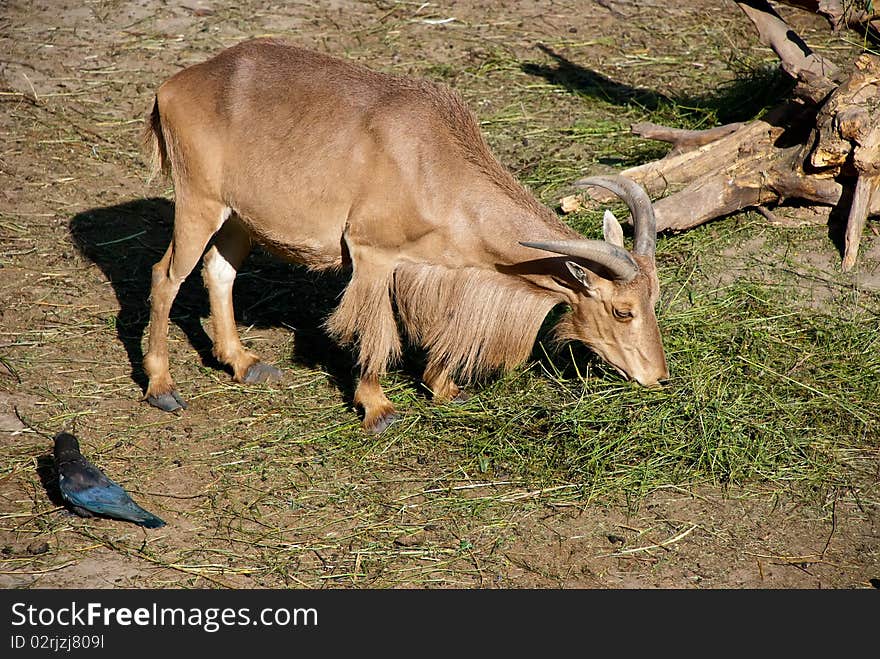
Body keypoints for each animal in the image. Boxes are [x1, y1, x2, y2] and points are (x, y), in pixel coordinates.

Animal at [143, 40, 668, 434]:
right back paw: (162, 387)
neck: (434, 168)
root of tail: (170, 88)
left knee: (219, 271)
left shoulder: (435, 268)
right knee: (165, 277)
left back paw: (244, 363)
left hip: (237, 218)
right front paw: (378, 409)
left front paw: (444, 387)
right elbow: (377, 330)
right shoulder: (373, 256)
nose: (658, 378)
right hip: (198, 202)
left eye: (654, 300)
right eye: (623, 311)